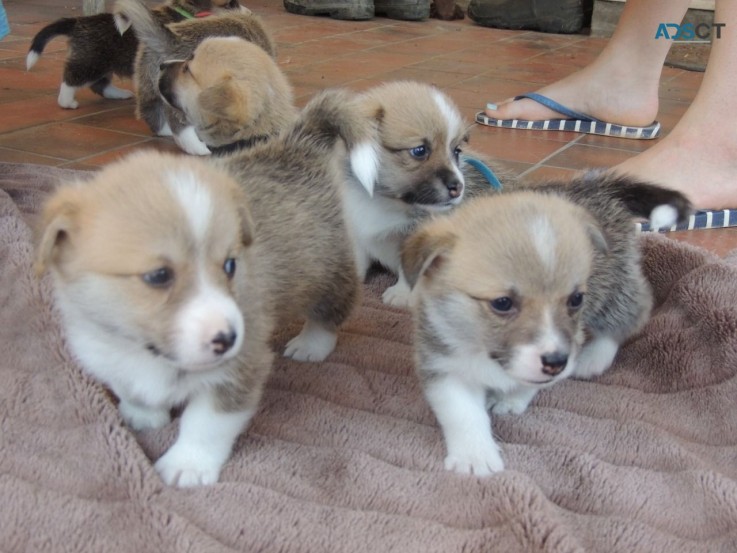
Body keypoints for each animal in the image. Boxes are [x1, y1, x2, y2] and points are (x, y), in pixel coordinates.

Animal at [26, 0, 244, 109]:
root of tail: (78, 22)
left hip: (103, 62)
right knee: (73, 79)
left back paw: (119, 94)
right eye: (229, 4)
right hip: (91, 61)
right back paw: (67, 102)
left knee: (100, 84)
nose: (246, 12)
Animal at [113, 0, 274, 155]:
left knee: (150, 111)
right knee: (180, 126)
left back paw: (165, 131)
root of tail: (171, 41)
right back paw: (199, 148)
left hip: (148, 85)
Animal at [342, 80, 498, 308]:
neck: (383, 200)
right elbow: (357, 258)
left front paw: (401, 294)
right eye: (419, 151)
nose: (458, 187)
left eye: (456, 151)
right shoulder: (354, 228)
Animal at [400, 175, 692, 476]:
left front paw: (511, 400)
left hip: (614, 286)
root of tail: (594, 187)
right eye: (502, 303)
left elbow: (527, 385)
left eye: (576, 299)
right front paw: (475, 456)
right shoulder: (443, 364)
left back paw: (594, 357)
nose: (557, 363)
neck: (488, 355)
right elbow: (464, 415)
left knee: (634, 310)